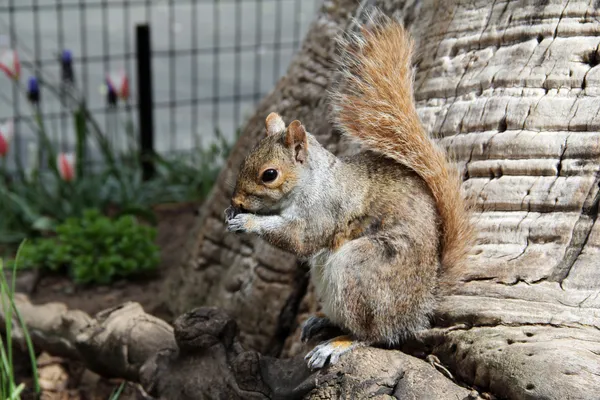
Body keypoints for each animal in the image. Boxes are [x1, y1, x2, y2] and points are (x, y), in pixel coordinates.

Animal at [225, 11, 474, 368]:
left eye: (269, 174)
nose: (235, 199)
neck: (313, 182)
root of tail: (417, 310)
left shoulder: (326, 210)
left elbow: (299, 239)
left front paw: (247, 222)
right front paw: (232, 213)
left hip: (361, 269)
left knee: (374, 335)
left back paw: (340, 343)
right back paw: (324, 322)